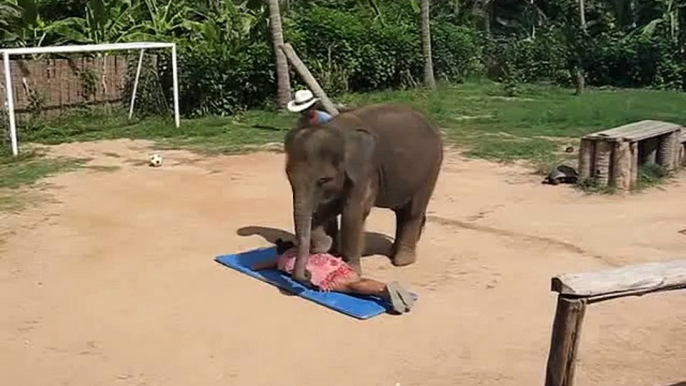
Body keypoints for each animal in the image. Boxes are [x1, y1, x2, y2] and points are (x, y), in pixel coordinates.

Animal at [284, 102, 446, 284]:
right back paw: (393, 251)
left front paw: (351, 273)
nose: (307, 274)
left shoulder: (366, 169)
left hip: (431, 168)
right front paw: (325, 246)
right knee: (401, 211)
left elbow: (352, 212)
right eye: (289, 176)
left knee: (412, 211)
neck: (336, 129)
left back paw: (402, 260)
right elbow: (327, 208)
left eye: (323, 180)